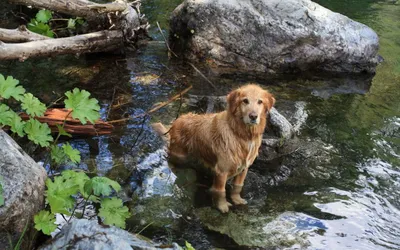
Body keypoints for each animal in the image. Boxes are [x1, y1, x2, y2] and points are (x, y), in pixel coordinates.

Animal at [152, 84, 276, 213]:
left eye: (260, 102)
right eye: (245, 101)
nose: (253, 116)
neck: (240, 134)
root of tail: (176, 122)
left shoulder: (243, 169)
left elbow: (237, 187)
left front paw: (237, 200)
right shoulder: (221, 171)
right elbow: (220, 192)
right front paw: (223, 206)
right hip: (179, 156)